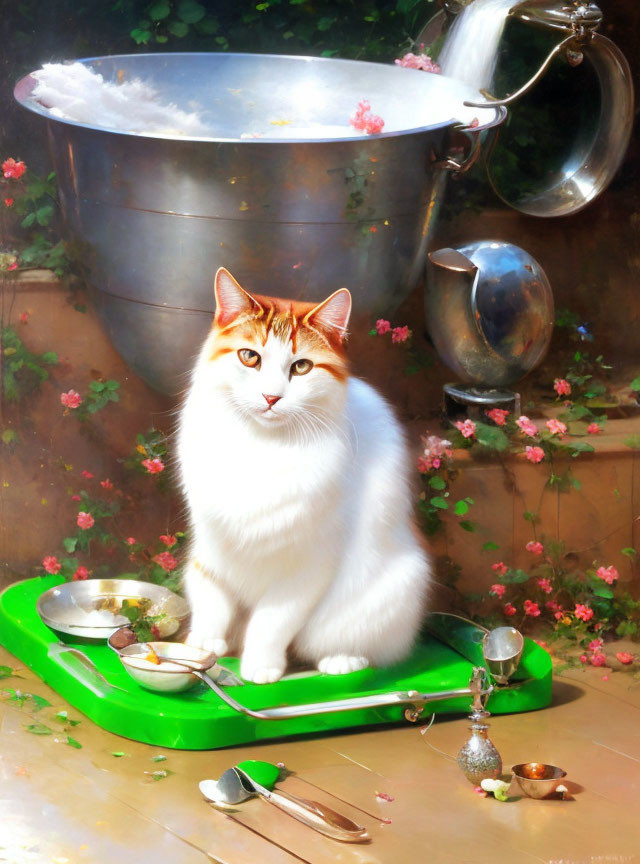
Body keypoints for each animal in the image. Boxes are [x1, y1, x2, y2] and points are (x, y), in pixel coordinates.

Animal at [178, 266, 432, 684]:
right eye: (249, 357)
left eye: (301, 367)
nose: (270, 397)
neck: (259, 447)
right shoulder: (210, 548)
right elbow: (212, 600)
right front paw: (203, 645)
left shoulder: (306, 569)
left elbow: (271, 622)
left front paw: (260, 666)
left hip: (392, 588)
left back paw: (341, 662)